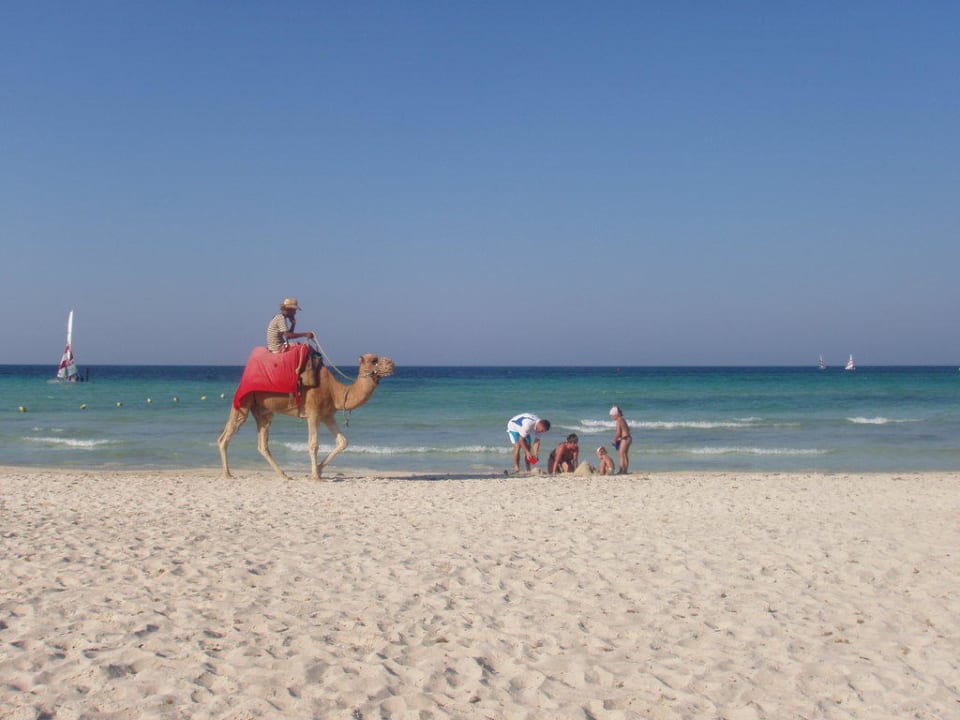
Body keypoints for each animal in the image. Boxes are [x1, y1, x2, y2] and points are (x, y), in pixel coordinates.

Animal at [218, 353, 395, 480]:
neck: (335, 392)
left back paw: (284, 475)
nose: (392, 363)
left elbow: (343, 442)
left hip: (263, 411)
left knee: (262, 444)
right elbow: (313, 444)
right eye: (374, 360)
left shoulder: (327, 416)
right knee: (225, 436)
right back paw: (228, 474)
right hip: (243, 403)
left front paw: (319, 470)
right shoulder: (313, 413)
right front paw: (316, 476)